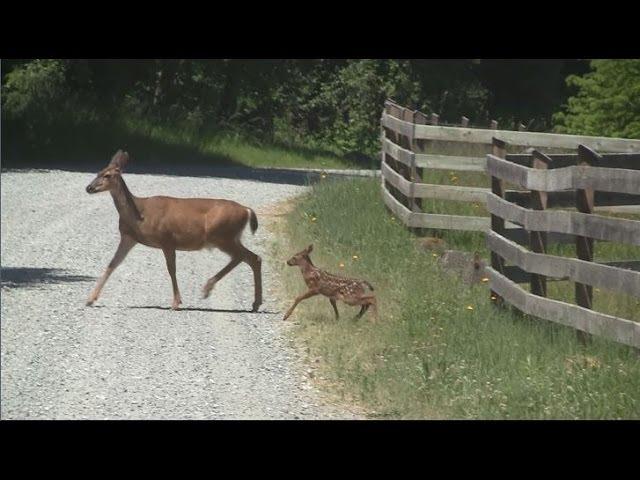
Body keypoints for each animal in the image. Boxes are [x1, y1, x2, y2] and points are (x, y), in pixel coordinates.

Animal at [84, 152, 262, 314]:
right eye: (98, 172)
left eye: (107, 175)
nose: (89, 188)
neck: (140, 214)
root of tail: (247, 210)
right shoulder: (129, 237)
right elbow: (112, 264)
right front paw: (90, 299)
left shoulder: (167, 239)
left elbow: (171, 269)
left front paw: (176, 302)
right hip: (229, 237)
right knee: (252, 258)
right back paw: (254, 303)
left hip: (222, 236)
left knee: (244, 257)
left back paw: (208, 288)